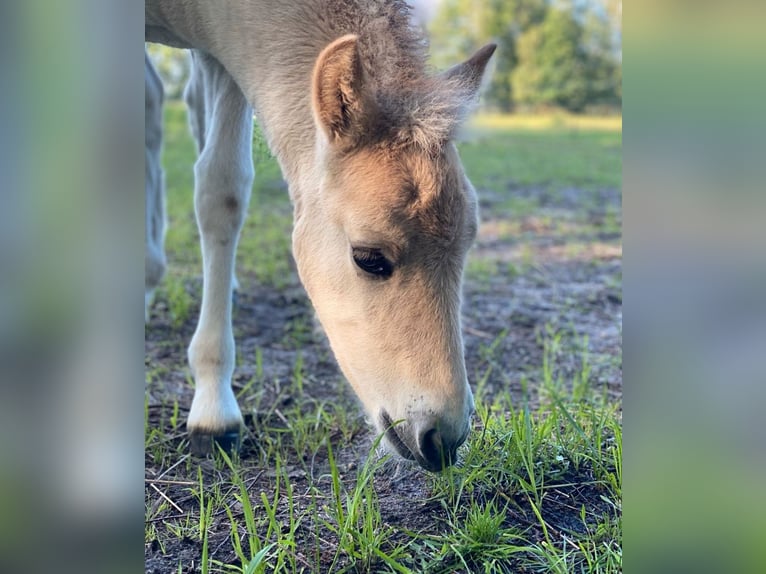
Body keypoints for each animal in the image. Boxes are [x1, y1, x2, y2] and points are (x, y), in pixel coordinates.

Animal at [146, 0, 496, 472]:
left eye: (465, 248)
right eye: (368, 258)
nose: (443, 438)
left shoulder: (224, 48)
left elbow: (223, 186)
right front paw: (213, 414)